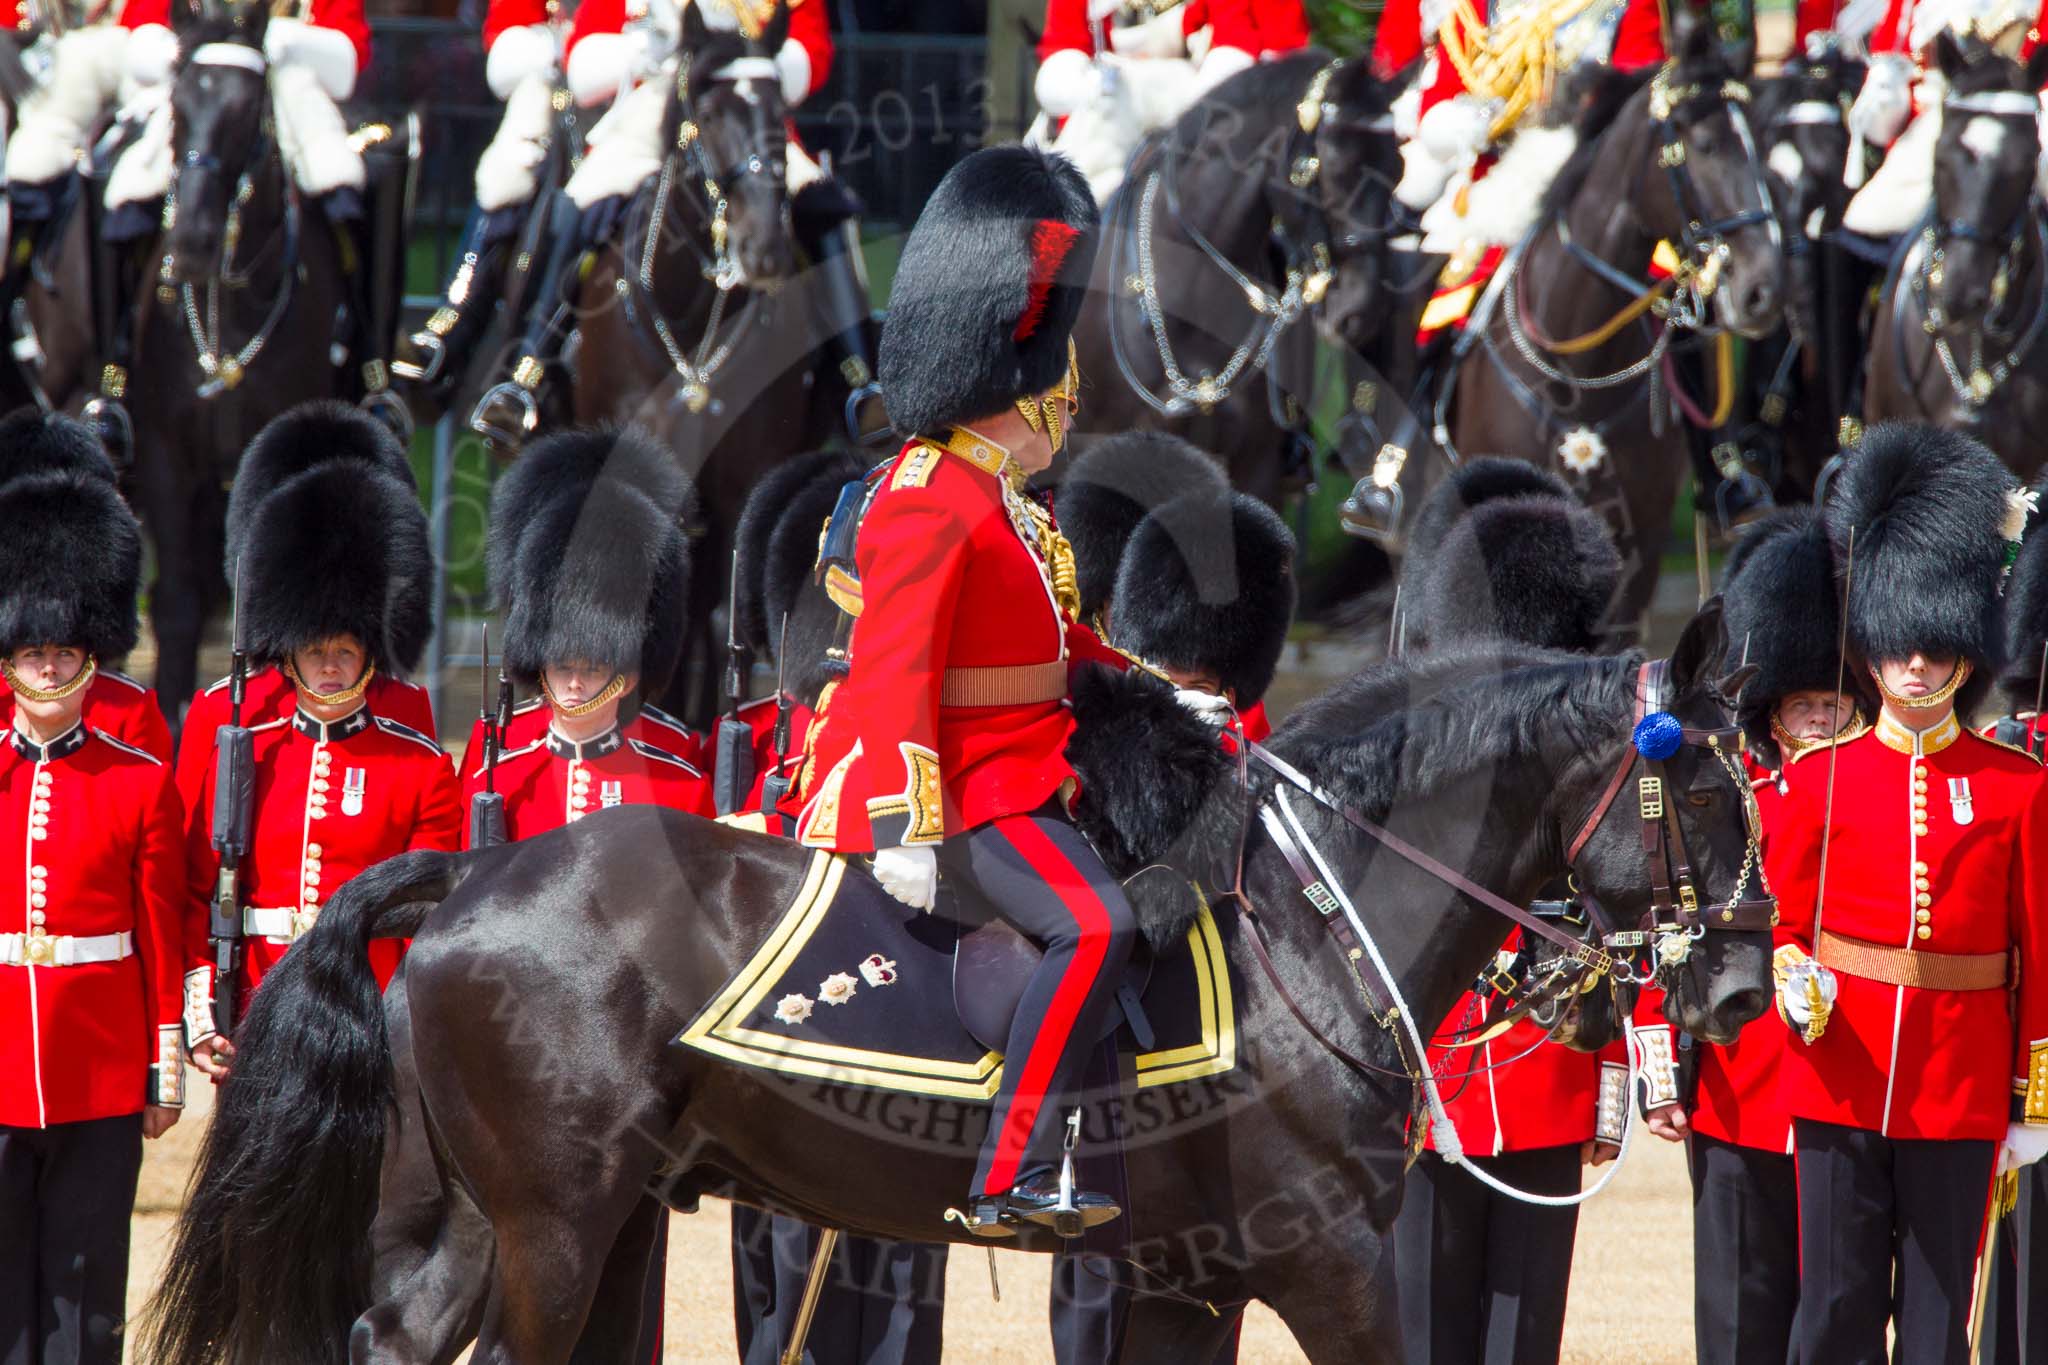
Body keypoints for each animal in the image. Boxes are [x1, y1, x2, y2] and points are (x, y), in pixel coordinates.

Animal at [148, 601, 1777, 1358]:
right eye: (1703, 793)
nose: (1740, 996)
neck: (1307, 930)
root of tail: (474, 876)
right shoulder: (1331, 1264)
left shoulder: (1189, 1274)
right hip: (559, 1224)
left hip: (504, 1218)